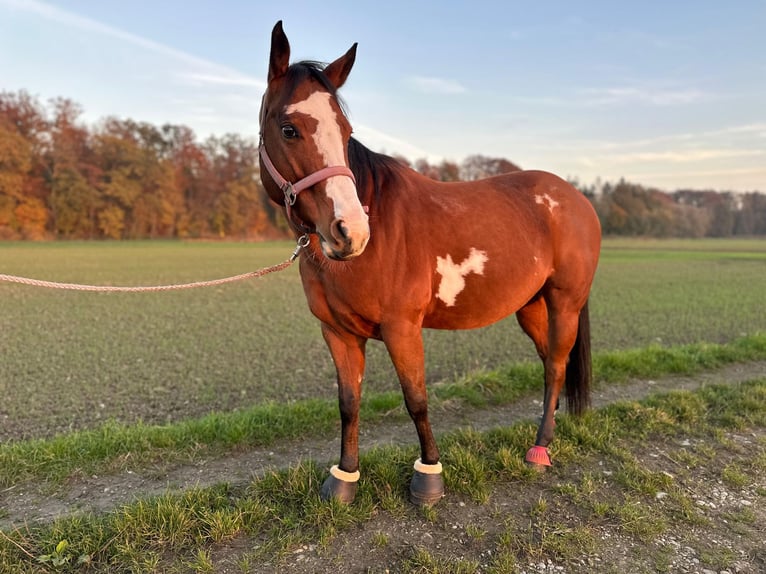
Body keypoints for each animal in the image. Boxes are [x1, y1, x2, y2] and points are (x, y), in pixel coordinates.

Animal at [258, 21, 601, 505]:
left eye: (345, 131)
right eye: (288, 129)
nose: (350, 231)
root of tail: (577, 200)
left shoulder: (403, 329)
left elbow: (416, 399)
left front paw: (430, 476)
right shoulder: (338, 334)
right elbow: (348, 404)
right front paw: (344, 478)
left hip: (565, 303)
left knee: (555, 364)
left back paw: (539, 450)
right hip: (531, 306)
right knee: (554, 361)